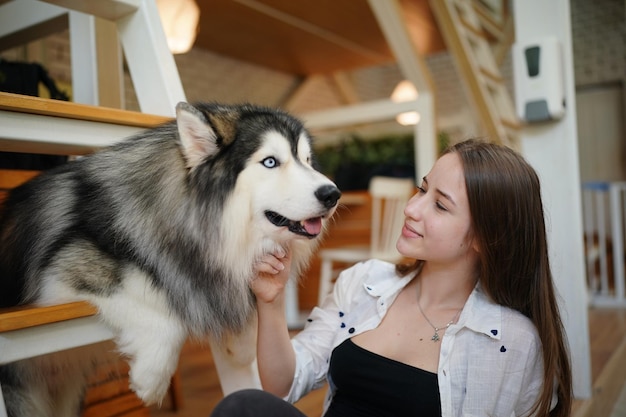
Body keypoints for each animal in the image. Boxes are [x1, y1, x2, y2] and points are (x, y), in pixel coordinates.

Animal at [0, 101, 338, 416]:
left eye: (307, 160)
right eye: (270, 162)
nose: (332, 193)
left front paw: (241, 343)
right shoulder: (64, 271)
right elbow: (161, 310)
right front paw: (150, 379)